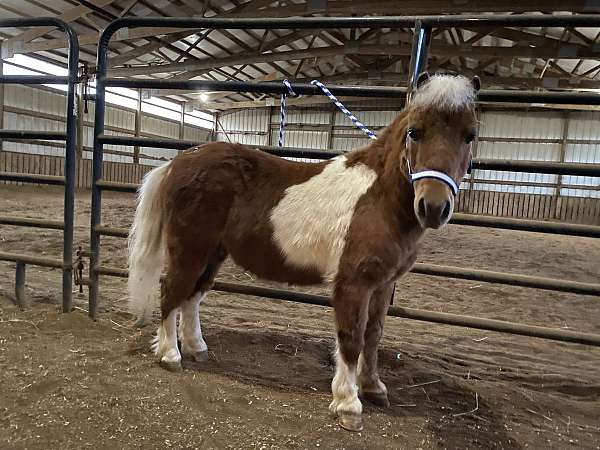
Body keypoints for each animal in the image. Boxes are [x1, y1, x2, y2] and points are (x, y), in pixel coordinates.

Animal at [126, 74, 478, 432]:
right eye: (414, 132)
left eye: (470, 136)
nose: (433, 208)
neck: (377, 198)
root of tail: (177, 163)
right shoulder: (354, 284)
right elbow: (351, 338)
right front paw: (348, 405)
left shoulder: (383, 284)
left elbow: (373, 334)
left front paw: (373, 388)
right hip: (190, 249)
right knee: (172, 290)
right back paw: (170, 355)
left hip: (213, 253)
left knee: (192, 295)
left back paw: (196, 348)